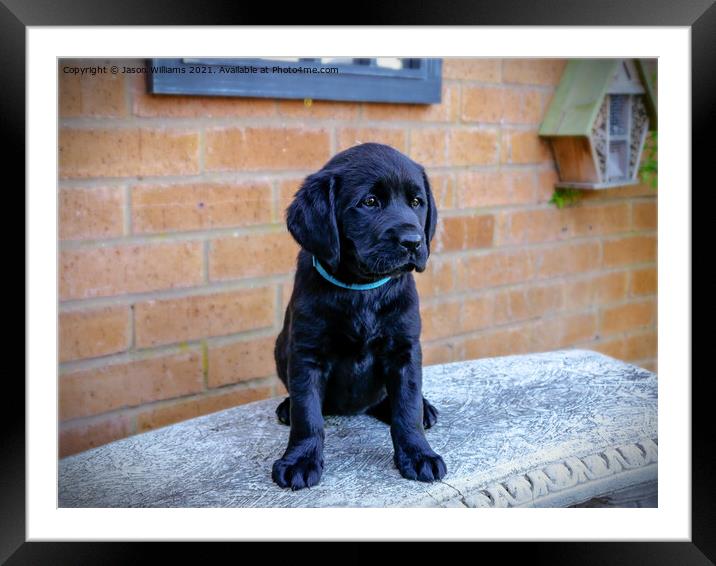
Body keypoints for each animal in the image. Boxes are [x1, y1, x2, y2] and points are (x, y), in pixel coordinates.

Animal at [272, 143, 444, 492]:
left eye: (416, 202)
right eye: (369, 202)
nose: (413, 242)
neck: (363, 289)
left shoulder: (405, 351)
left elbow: (407, 408)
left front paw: (419, 454)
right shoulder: (306, 353)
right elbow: (307, 414)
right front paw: (300, 461)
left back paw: (424, 410)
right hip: (281, 347)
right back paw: (286, 409)